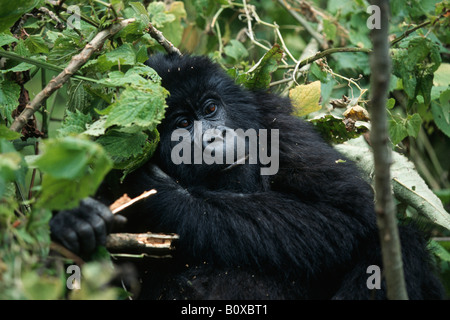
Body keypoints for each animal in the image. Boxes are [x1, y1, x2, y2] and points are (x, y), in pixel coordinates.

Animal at [49, 53, 442, 300]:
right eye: (182, 124)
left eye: (211, 108)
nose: (214, 138)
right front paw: (74, 221)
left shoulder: (280, 129)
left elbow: (349, 212)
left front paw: (157, 194)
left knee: (398, 239)